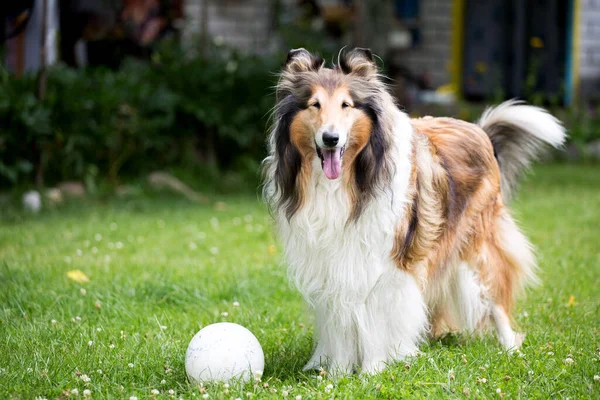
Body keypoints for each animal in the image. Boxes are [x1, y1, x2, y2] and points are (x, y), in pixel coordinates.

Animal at [262, 47, 564, 376]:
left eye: (346, 105)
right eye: (314, 104)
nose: (331, 139)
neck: (347, 183)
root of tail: (480, 131)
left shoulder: (386, 264)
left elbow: (376, 319)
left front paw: (372, 371)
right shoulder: (333, 263)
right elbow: (338, 319)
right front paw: (338, 373)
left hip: (478, 247)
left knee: (496, 296)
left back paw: (509, 347)